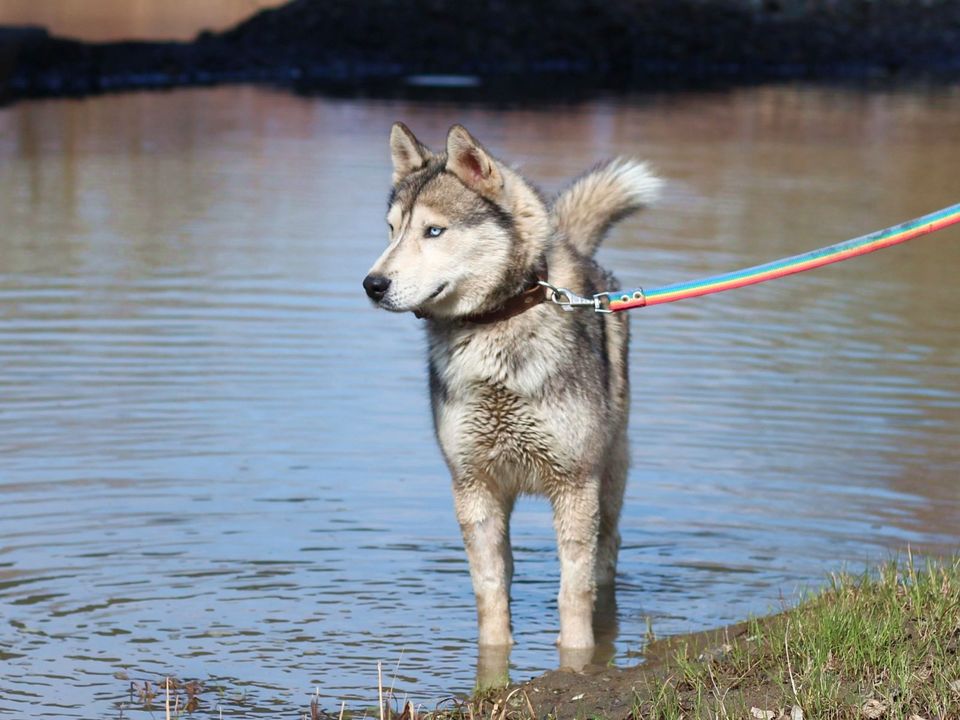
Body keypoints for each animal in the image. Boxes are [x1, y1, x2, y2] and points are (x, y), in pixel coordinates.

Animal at [362, 122, 660, 648]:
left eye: (434, 231)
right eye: (392, 230)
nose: (371, 285)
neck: (496, 328)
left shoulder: (575, 485)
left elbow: (574, 592)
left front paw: (578, 656)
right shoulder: (473, 487)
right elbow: (490, 592)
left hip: (610, 474)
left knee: (608, 549)